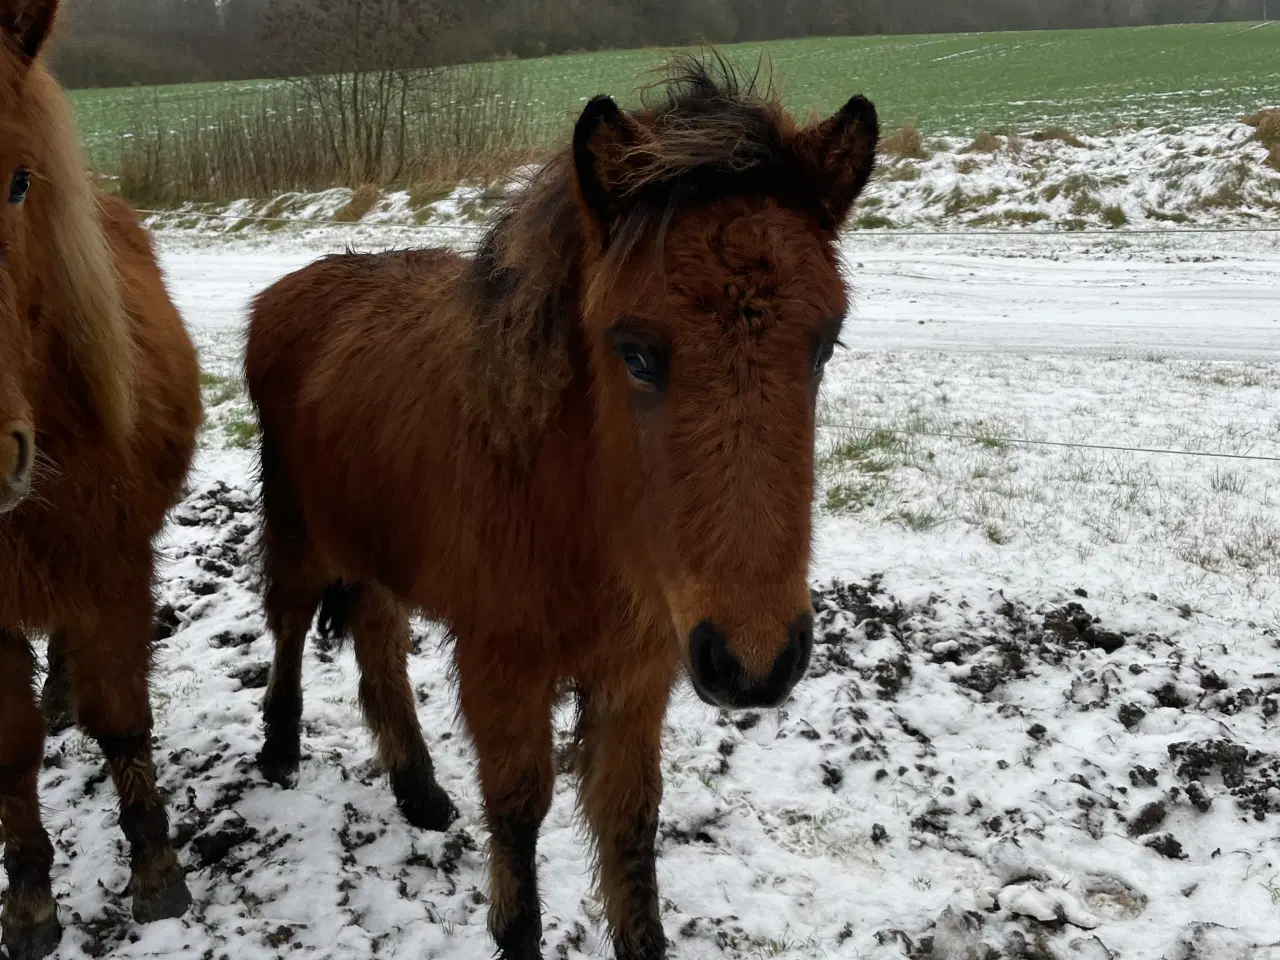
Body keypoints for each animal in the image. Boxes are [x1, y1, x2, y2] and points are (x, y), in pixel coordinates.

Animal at [244, 56, 875, 957]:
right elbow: (518, 818)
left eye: (825, 343)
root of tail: (293, 289)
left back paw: (418, 790)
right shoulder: (502, 667)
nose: (757, 663)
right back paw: (279, 746)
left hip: (377, 552)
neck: (578, 509)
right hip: (301, 531)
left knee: (376, 644)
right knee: (292, 624)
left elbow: (630, 831)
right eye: (636, 353)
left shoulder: (638, 675)